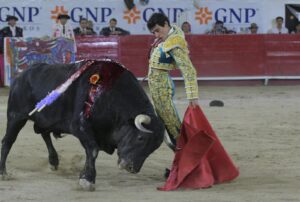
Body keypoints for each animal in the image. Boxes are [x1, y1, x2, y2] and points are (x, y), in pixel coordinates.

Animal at [0, 59, 164, 191]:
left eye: (154, 148)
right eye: (141, 138)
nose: (132, 168)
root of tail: (20, 76)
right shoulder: (80, 126)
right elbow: (93, 150)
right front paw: (87, 179)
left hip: (43, 119)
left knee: (44, 134)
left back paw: (53, 161)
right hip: (15, 117)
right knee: (8, 141)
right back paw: (3, 172)